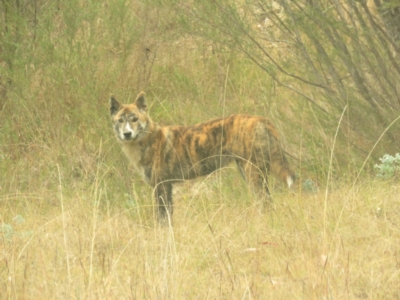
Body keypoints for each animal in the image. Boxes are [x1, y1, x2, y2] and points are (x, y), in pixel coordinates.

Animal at [109, 91, 294, 223]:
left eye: (134, 119)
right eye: (120, 120)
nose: (127, 134)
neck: (149, 139)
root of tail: (262, 119)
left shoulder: (161, 186)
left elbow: (162, 218)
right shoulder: (167, 187)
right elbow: (168, 217)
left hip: (253, 173)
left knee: (266, 201)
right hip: (250, 172)